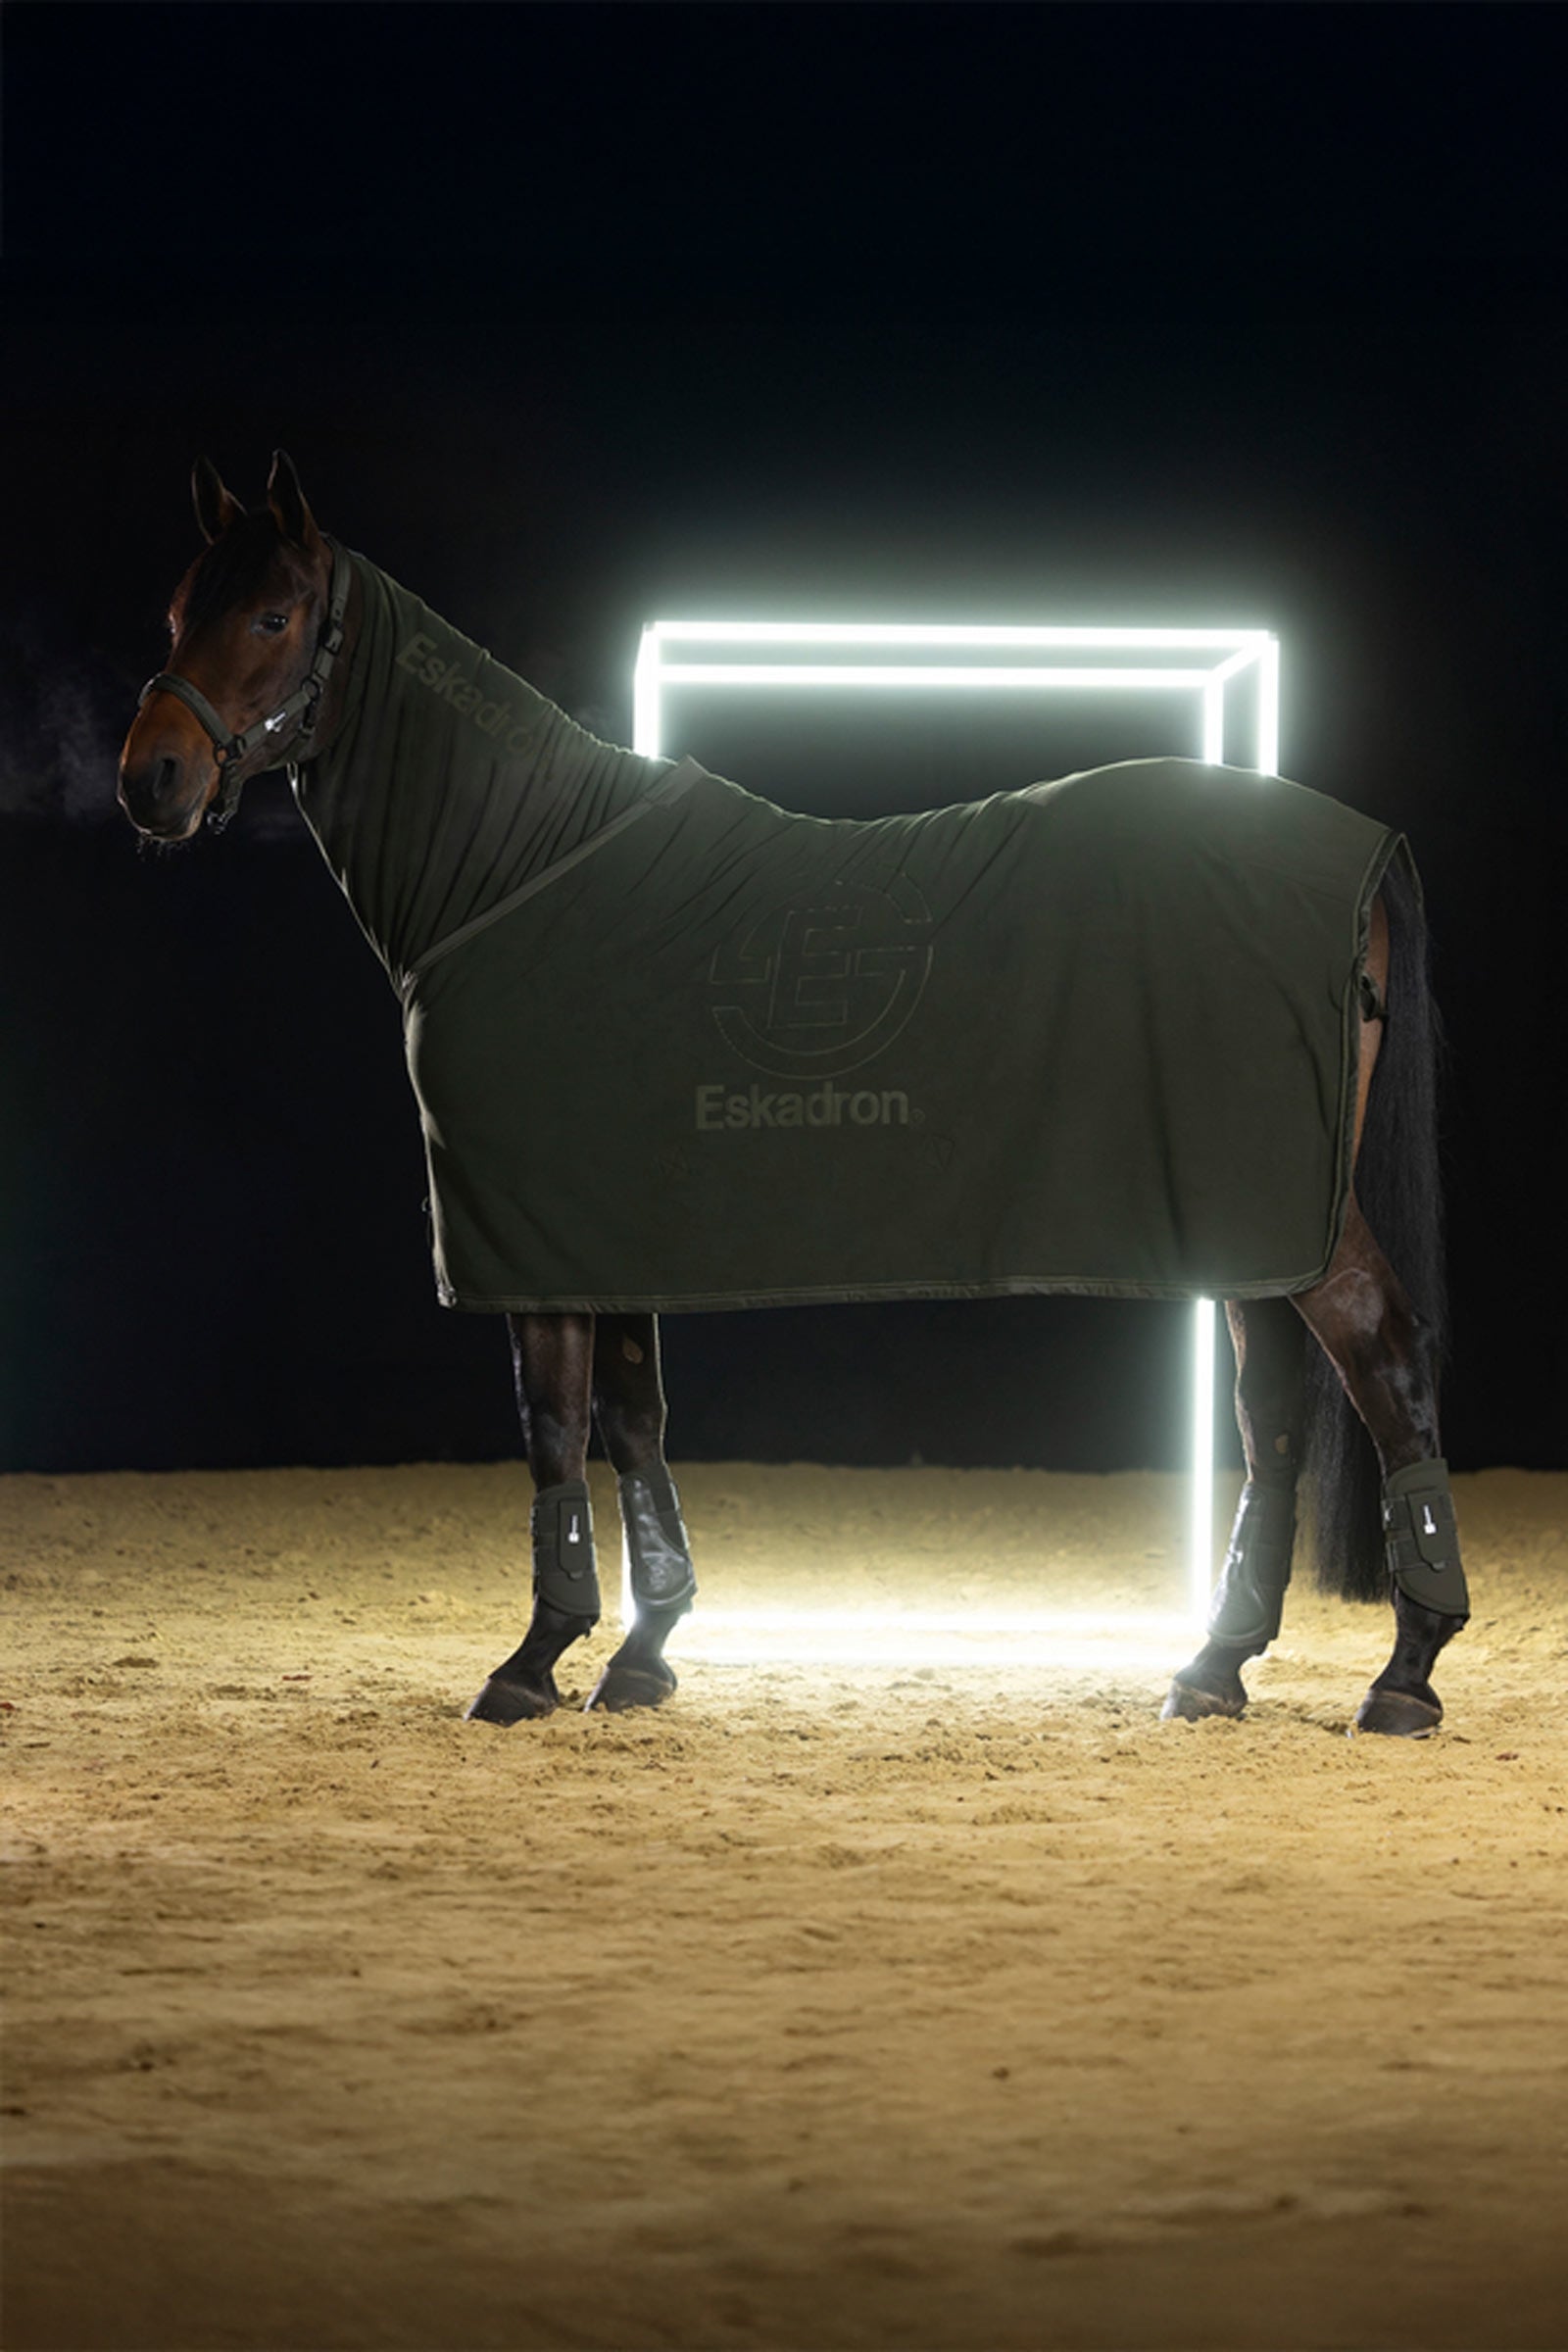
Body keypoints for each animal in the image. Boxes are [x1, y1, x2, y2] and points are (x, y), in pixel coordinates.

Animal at [117, 452, 1470, 1737]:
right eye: (179, 606)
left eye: (276, 614)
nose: (152, 781)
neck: (519, 879)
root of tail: (1359, 845)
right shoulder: (603, 1239)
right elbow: (635, 1427)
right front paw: (643, 1654)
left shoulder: (532, 1253)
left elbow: (554, 1431)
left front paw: (531, 1662)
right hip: (1248, 1218)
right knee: (1272, 1407)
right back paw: (1212, 1667)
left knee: (1382, 1354)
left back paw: (1403, 1676)